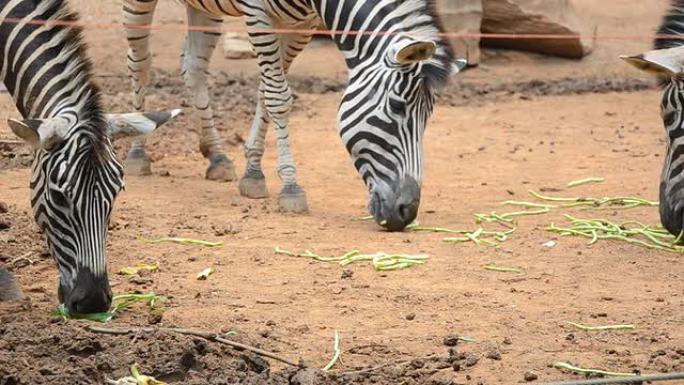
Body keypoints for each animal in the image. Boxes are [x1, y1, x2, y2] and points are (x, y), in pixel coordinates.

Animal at [123, 0, 464, 231]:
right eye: (396, 107)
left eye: (428, 117)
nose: (407, 212)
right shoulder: (258, 14)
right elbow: (278, 95)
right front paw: (290, 187)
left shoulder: (303, 24)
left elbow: (267, 90)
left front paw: (253, 172)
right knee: (140, 64)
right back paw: (138, 153)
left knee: (193, 68)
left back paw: (217, 157)